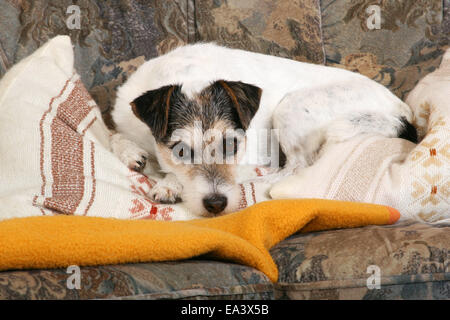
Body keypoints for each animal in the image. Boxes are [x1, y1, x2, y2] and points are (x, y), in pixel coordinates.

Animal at [110, 43, 418, 218]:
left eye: (232, 145)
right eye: (182, 151)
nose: (216, 204)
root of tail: (403, 112)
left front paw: (169, 183)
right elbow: (115, 136)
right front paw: (132, 153)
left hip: (291, 106)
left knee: (297, 167)